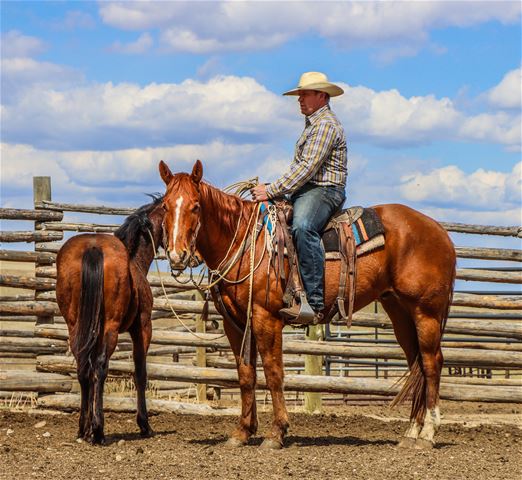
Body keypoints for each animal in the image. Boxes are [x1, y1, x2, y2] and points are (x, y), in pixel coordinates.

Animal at [55, 194, 164, 442]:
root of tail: (94, 247)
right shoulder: (142, 328)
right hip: (110, 329)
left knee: (84, 367)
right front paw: (144, 425)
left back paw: (84, 428)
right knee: (100, 366)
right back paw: (98, 430)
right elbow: (140, 373)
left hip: (76, 326)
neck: (134, 261)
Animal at [159, 160, 456, 450]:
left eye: (196, 206)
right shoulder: (236, 323)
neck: (244, 241)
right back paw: (411, 432)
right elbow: (245, 374)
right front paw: (242, 432)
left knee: (431, 363)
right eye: (164, 206)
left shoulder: (266, 318)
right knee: (416, 363)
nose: (177, 255)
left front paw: (276, 432)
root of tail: (440, 231)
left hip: (426, 312)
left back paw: (427, 434)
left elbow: (274, 372)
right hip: (399, 311)